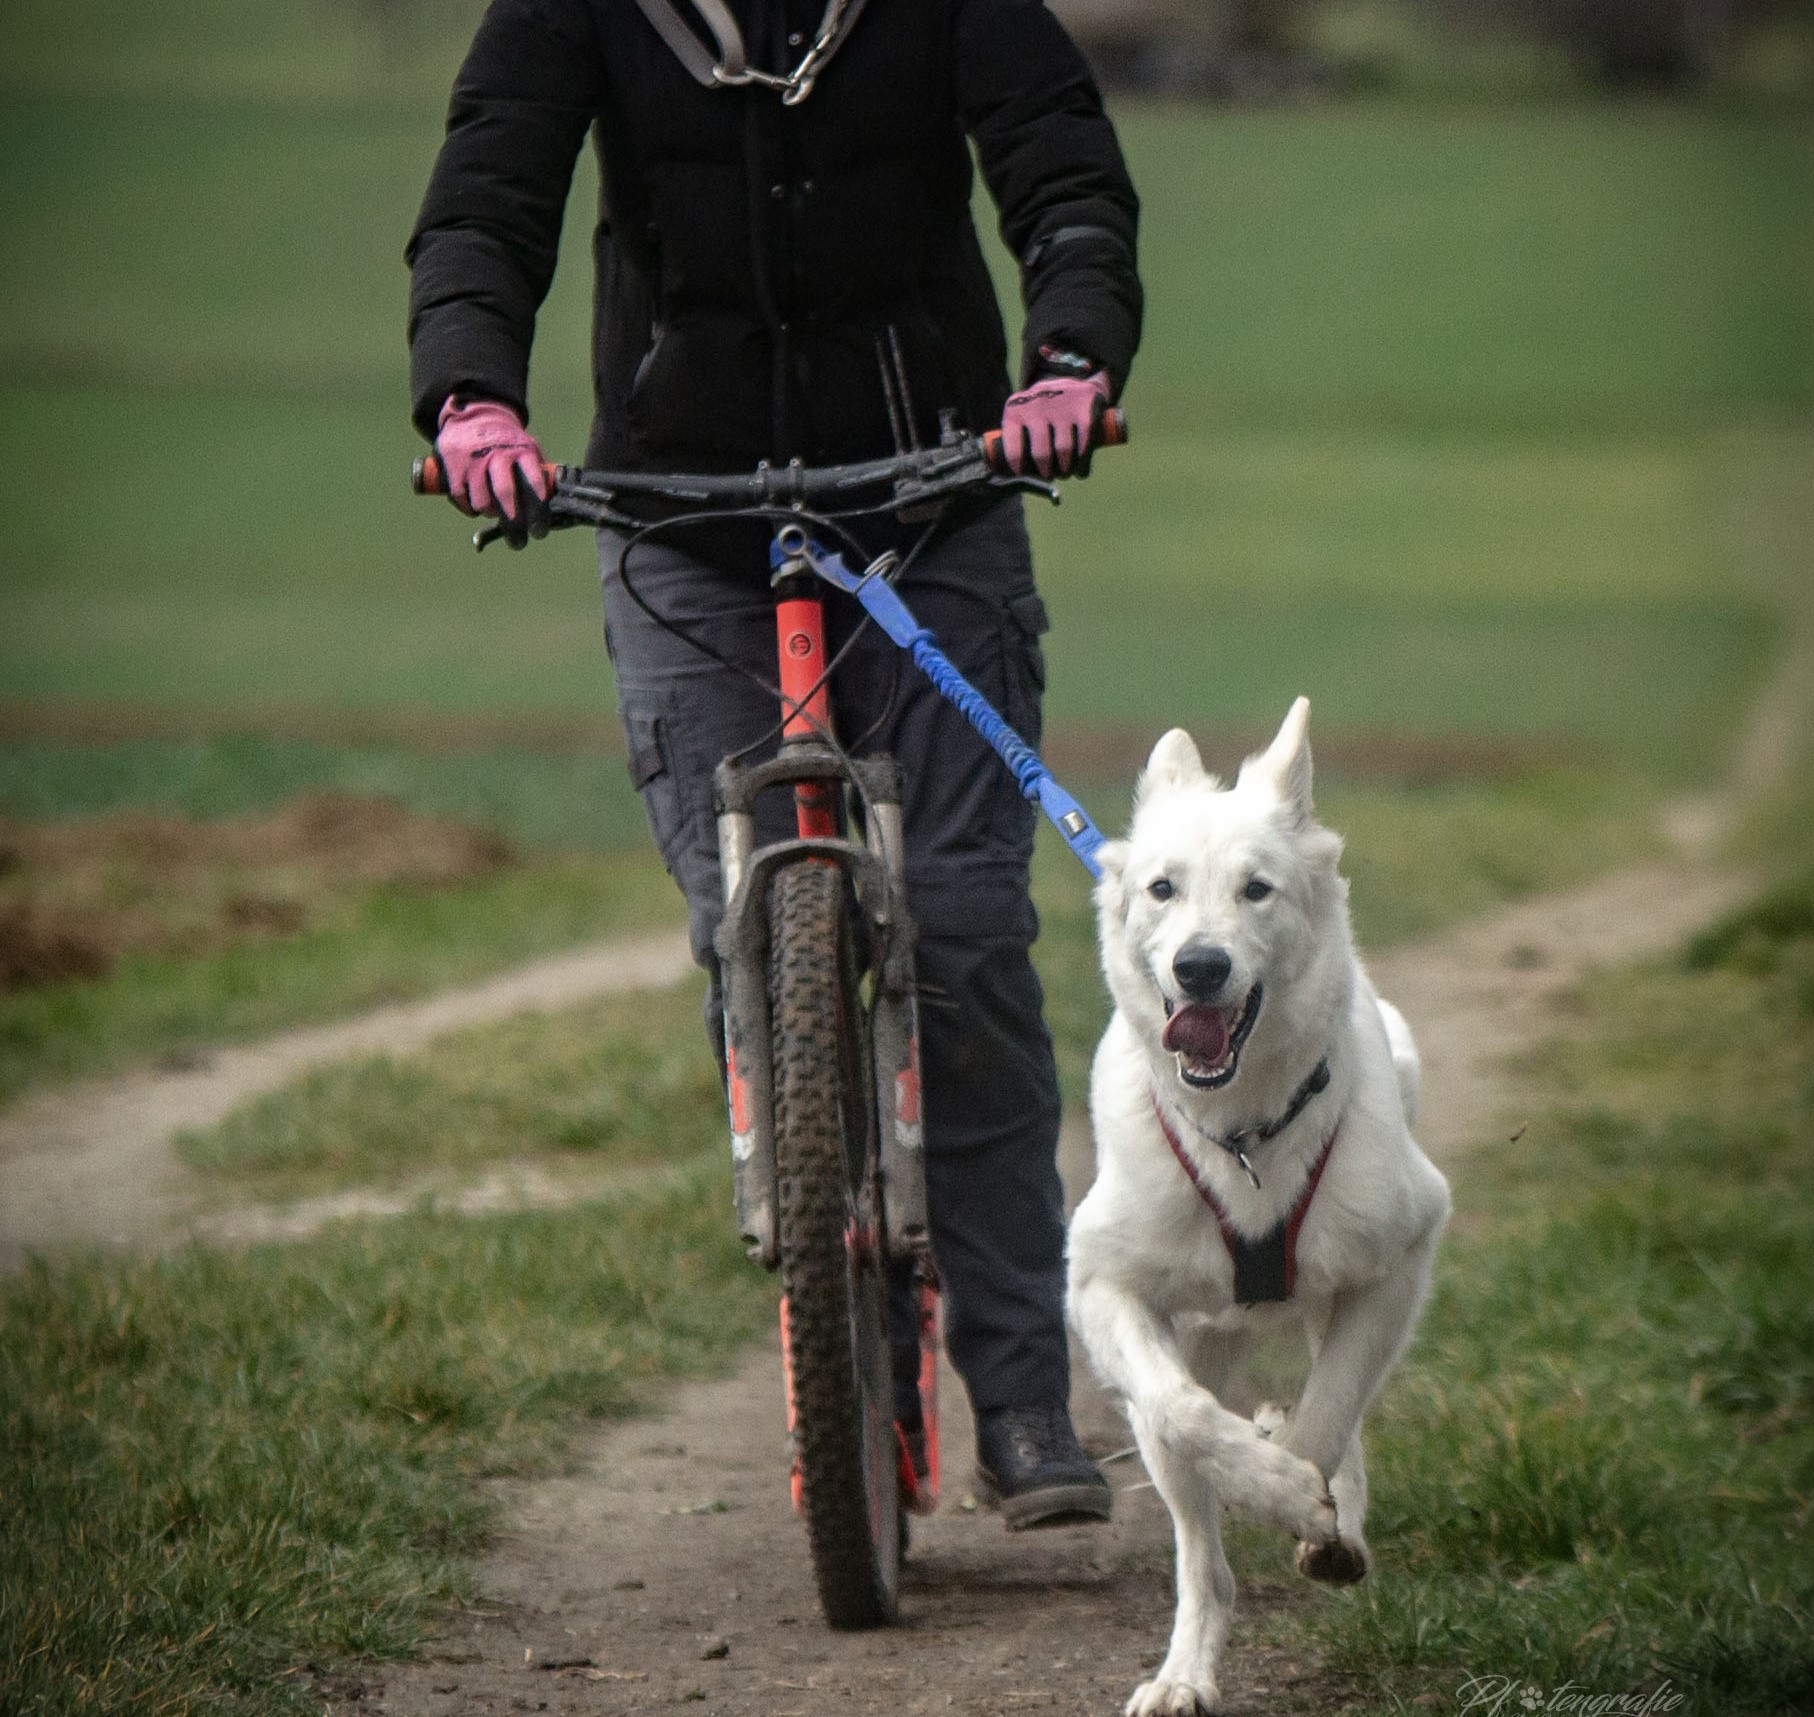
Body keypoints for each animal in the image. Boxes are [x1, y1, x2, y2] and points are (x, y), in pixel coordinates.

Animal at [1066, 699, 1451, 1717]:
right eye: (1162, 888)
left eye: (1258, 890)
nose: (1200, 967)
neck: (1240, 1134)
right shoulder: (1100, 1283)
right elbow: (1185, 1413)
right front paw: (1268, 1474)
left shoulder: (1402, 1256)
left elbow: (1329, 1417)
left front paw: (1300, 1492)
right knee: (1200, 1544)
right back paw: (1183, 1675)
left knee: (1338, 1403)